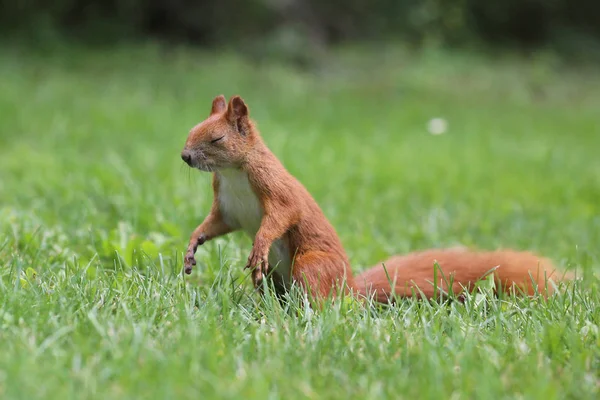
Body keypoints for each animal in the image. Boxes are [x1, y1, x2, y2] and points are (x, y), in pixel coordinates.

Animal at [179, 95, 572, 302]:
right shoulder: (227, 207)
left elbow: (282, 215)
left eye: (216, 139)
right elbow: (214, 224)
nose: (185, 156)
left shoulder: (274, 187)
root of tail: (350, 289)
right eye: (191, 130)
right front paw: (192, 245)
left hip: (312, 264)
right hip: (275, 277)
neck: (234, 172)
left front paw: (259, 243)